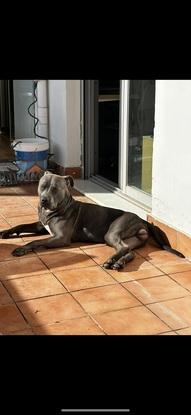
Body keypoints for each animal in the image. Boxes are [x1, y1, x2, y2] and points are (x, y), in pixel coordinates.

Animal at [0, 171, 185, 270]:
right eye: (42, 186)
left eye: (55, 189)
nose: (43, 200)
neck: (60, 206)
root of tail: (142, 219)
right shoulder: (41, 225)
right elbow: (21, 225)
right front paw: (5, 232)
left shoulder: (60, 238)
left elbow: (36, 242)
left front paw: (21, 249)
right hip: (131, 240)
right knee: (128, 251)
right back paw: (119, 263)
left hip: (112, 232)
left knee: (122, 248)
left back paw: (111, 261)